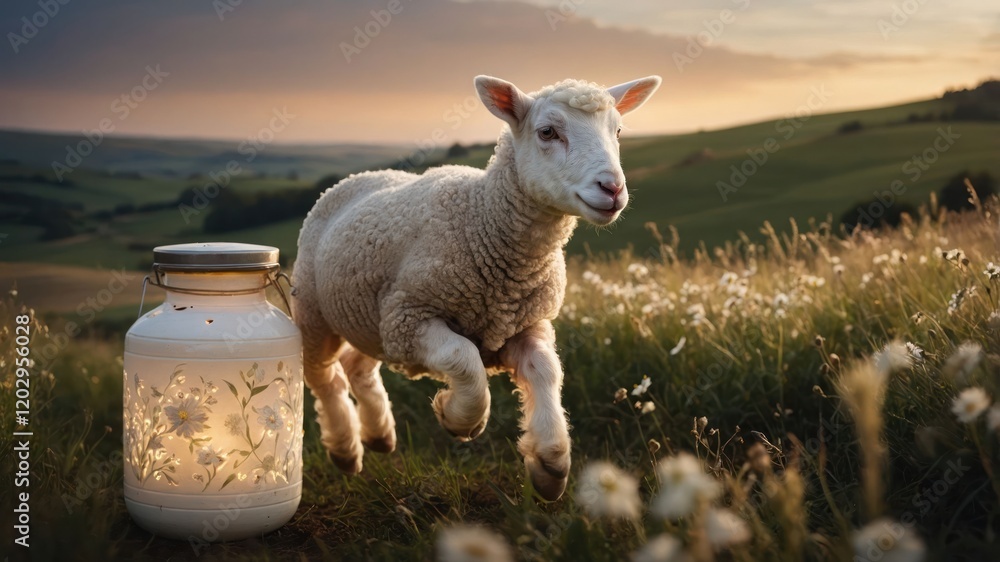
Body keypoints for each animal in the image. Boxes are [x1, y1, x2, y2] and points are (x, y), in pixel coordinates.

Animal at [292, 74, 661, 501]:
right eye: (547, 132)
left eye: (617, 131)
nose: (612, 188)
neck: (483, 221)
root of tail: (355, 178)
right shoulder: (410, 317)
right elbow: (464, 360)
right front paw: (457, 417)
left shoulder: (525, 323)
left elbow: (546, 370)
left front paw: (550, 462)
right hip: (316, 310)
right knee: (324, 377)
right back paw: (345, 449)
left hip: (368, 315)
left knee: (358, 366)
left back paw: (379, 434)